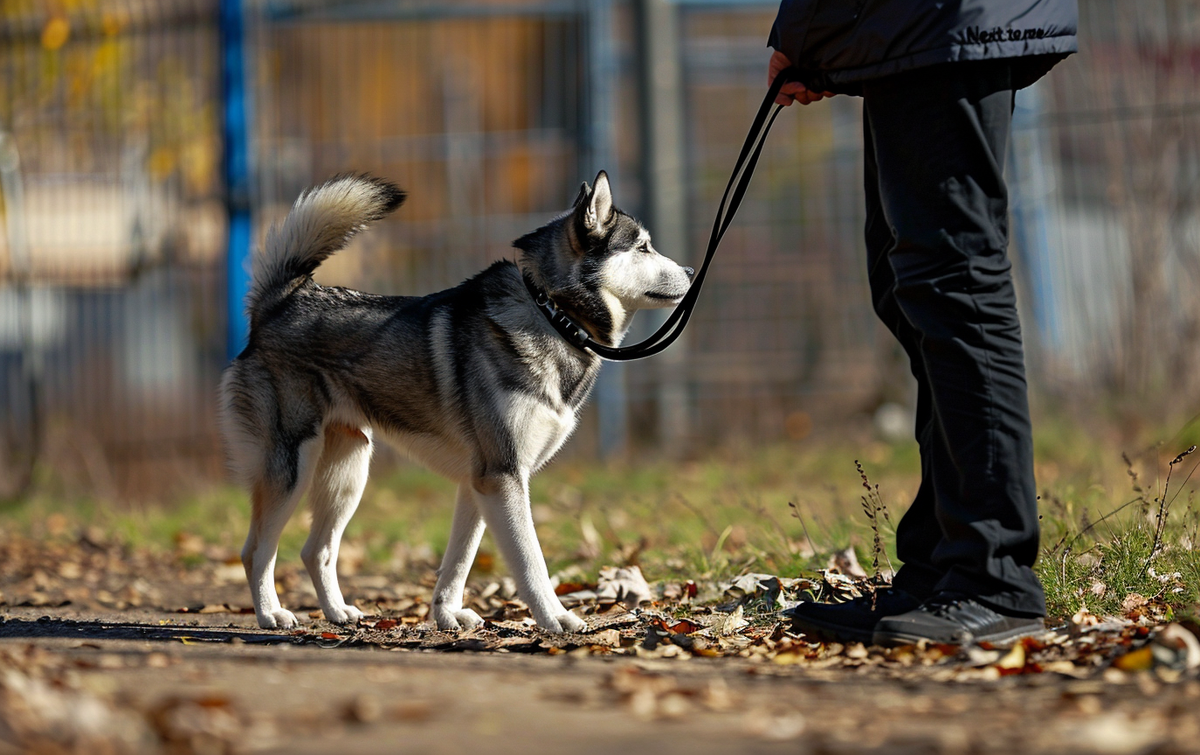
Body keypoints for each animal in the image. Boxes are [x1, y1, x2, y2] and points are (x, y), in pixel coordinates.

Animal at [220, 169, 696, 628]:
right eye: (643, 247)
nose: (693, 272)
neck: (552, 314)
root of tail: (282, 301)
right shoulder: (503, 476)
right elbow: (531, 561)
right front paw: (555, 618)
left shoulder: (479, 482)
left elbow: (460, 559)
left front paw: (447, 614)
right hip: (292, 469)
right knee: (255, 550)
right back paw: (270, 614)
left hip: (349, 472)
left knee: (315, 550)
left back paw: (338, 613)